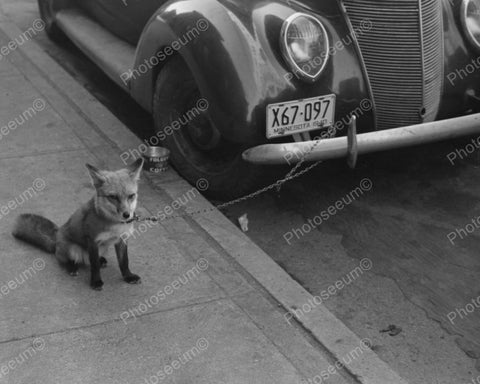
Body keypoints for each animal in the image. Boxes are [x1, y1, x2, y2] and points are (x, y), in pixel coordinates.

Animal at [12, 158, 144, 290]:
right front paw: (96, 281)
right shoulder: (92, 240)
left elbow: (124, 262)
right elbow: (94, 266)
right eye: (113, 197)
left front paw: (128, 276)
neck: (115, 224)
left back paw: (101, 260)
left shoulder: (122, 239)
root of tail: (56, 238)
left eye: (131, 196)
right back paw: (71, 267)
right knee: (64, 259)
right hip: (73, 249)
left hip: (102, 247)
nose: (127, 215)